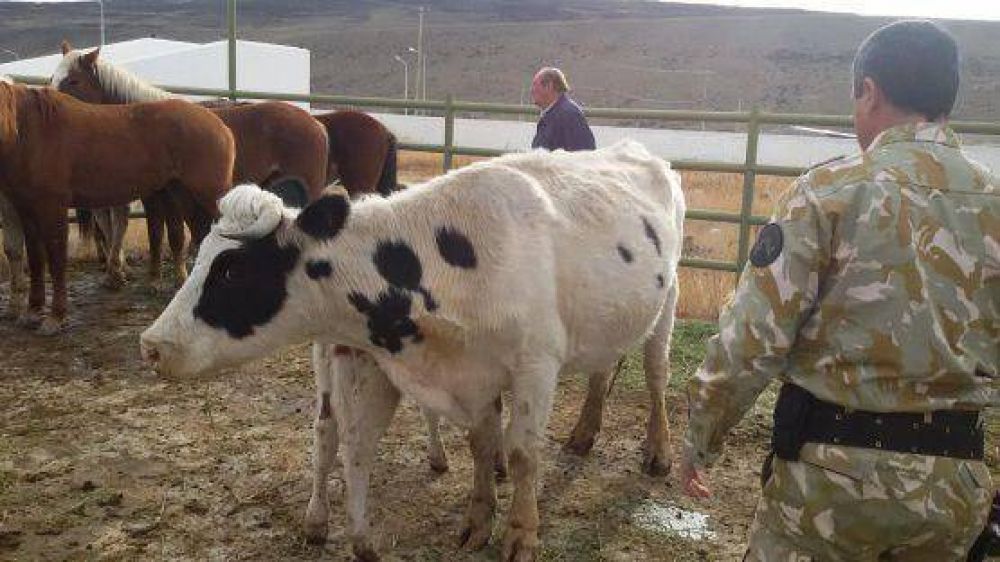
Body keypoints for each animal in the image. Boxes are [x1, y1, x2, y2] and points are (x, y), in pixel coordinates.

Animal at [0, 81, 235, 333]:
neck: (33, 132)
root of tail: (220, 125)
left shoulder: (52, 208)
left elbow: (55, 260)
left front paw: (56, 317)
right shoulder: (26, 211)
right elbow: (35, 260)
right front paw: (32, 312)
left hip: (209, 196)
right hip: (182, 194)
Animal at [140, 140, 686, 561]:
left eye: (231, 269)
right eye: (202, 257)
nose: (151, 345)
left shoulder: (534, 365)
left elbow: (522, 453)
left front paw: (520, 534)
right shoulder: (472, 374)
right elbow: (481, 445)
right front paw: (478, 520)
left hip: (667, 304)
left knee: (656, 374)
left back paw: (659, 451)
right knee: (602, 367)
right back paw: (584, 432)